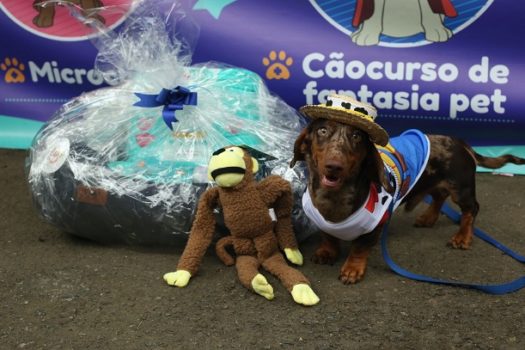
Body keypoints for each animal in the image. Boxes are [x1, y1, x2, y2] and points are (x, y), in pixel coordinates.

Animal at [290, 117, 524, 284]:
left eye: (357, 136)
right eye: (322, 131)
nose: (334, 166)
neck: (334, 197)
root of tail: (459, 142)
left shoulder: (377, 223)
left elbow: (360, 247)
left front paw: (352, 269)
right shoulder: (322, 220)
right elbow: (328, 235)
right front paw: (327, 252)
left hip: (461, 189)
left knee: (471, 210)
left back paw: (462, 237)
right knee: (439, 196)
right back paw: (428, 218)